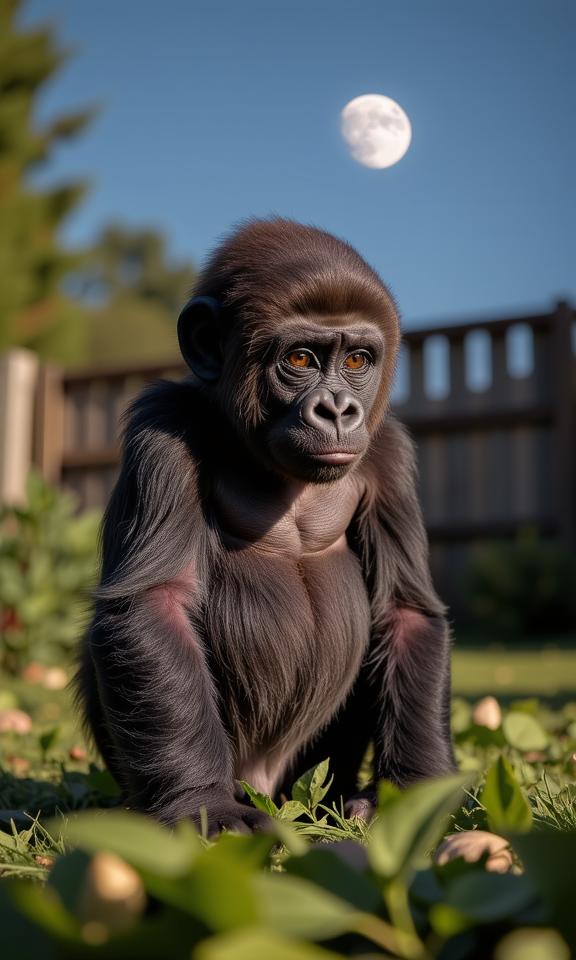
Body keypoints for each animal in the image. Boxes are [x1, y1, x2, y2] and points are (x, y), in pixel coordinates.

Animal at [76, 217, 455, 832]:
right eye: (300, 360)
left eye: (357, 361)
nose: (338, 410)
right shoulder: (162, 423)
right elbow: (155, 604)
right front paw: (200, 802)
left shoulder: (389, 452)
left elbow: (405, 612)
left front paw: (416, 792)